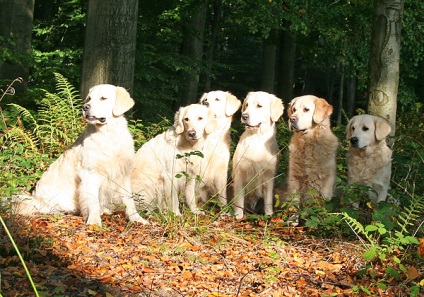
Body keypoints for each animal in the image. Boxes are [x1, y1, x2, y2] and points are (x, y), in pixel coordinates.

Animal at [16, 84, 149, 225]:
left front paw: (137, 219)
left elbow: (130, 201)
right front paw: (94, 222)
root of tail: (36, 199)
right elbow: (93, 201)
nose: (85, 107)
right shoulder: (90, 173)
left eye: (103, 98)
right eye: (89, 98)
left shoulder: (123, 174)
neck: (108, 135)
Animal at [230, 91, 284, 219]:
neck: (256, 138)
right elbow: (239, 199)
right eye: (246, 105)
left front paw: (269, 215)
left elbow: (268, 200)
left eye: (259, 106)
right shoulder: (239, 174)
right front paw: (238, 216)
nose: (244, 116)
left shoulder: (269, 176)